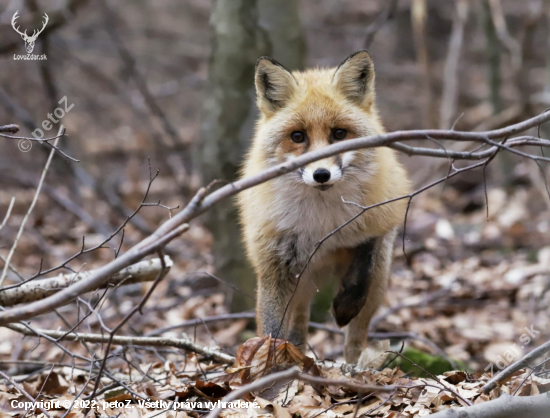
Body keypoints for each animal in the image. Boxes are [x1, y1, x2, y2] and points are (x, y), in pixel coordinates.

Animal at [239, 51, 412, 366]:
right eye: (298, 136)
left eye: (339, 134)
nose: (321, 174)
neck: (322, 222)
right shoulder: (274, 265)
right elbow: (272, 329)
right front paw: (271, 367)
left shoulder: (377, 220)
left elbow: (362, 271)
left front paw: (344, 307)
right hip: (301, 285)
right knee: (298, 327)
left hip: (380, 282)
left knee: (356, 337)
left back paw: (355, 367)